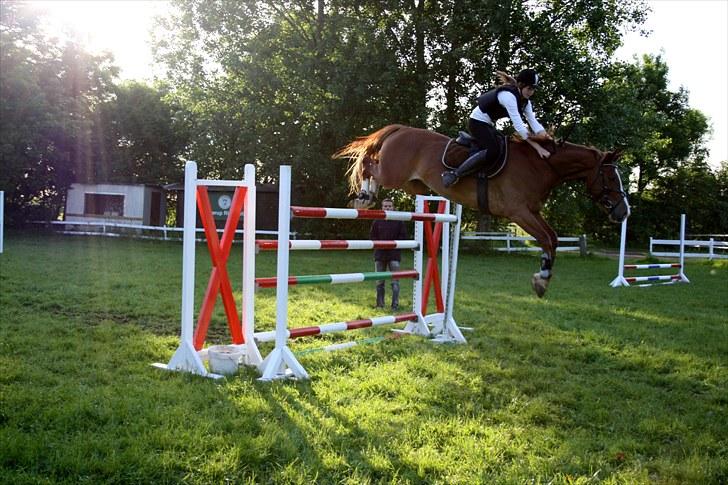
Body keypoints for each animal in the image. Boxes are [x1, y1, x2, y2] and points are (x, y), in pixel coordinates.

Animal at [332, 123, 628, 296]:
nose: (623, 212)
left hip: (411, 182)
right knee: (368, 163)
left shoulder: (531, 212)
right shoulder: (518, 213)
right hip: (394, 173)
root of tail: (402, 129)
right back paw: (364, 197)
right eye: (611, 178)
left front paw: (542, 279)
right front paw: (541, 281)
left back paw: (367, 195)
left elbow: (552, 239)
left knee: (375, 165)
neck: (541, 165)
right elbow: (546, 238)